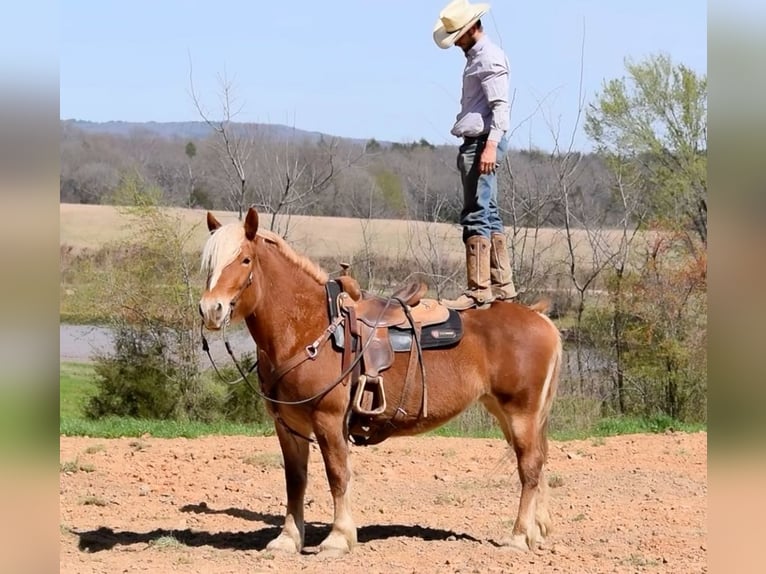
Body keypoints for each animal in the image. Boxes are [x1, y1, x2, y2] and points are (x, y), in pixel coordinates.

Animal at [198, 207, 562, 556]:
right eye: (210, 262)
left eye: (245, 259)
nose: (211, 309)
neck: (308, 327)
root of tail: (540, 317)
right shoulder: (288, 425)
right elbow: (295, 480)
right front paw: (287, 540)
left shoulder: (329, 420)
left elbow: (338, 475)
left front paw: (338, 539)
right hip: (507, 414)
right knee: (535, 462)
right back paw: (536, 531)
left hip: (521, 413)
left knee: (530, 467)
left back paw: (518, 537)